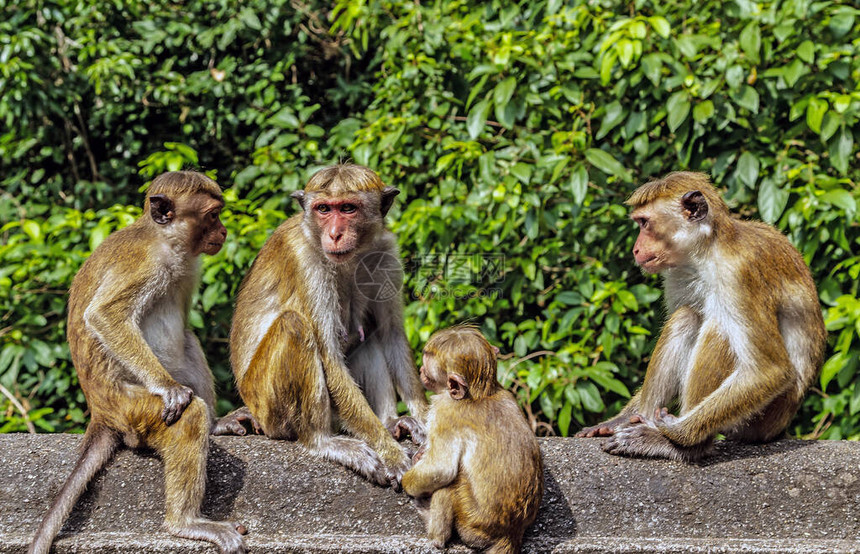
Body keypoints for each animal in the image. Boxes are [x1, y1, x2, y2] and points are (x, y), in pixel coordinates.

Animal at [27, 170, 249, 552]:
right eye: (212, 216)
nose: (222, 232)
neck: (164, 240)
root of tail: (100, 412)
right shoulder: (144, 264)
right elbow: (104, 316)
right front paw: (169, 387)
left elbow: (184, 332)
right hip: (131, 409)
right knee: (187, 415)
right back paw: (185, 523)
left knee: (188, 340)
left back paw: (214, 424)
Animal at [400, 326, 540, 548]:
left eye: (427, 368)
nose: (420, 370)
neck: (480, 394)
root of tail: (511, 533)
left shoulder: (444, 411)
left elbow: (441, 469)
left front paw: (407, 481)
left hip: (470, 521)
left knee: (448, 487)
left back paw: (435, 535)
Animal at [576, 171, 828, 462]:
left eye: (645, 223)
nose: (635, 250)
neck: (708, 250)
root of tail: (780, 427)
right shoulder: (676, 274)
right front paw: (619, 420)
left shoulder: (738, 274)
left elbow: (770, 370)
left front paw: (675, 432)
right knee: (687, 316)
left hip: (762, 418)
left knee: (719, 329)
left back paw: (683, 445)